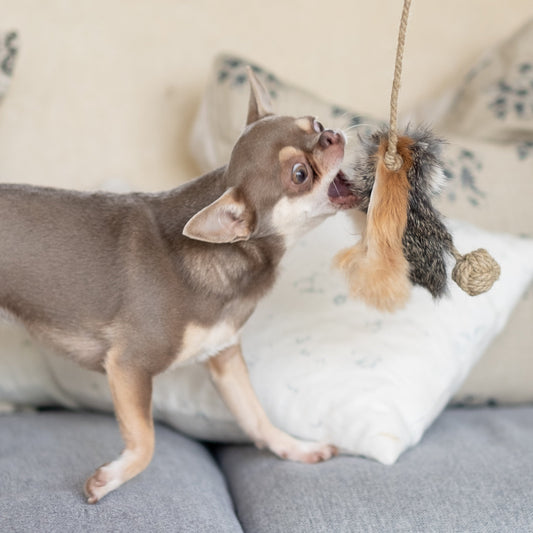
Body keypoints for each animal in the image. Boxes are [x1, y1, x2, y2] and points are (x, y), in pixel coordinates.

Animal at [1, 68, 358, 500]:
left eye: (316, 125)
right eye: (299, 175)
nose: (331, 135)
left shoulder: (225, 359)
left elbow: (255, 416)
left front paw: (294, 447)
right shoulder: (129, 365)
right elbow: (146, 441)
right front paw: (109, 479)